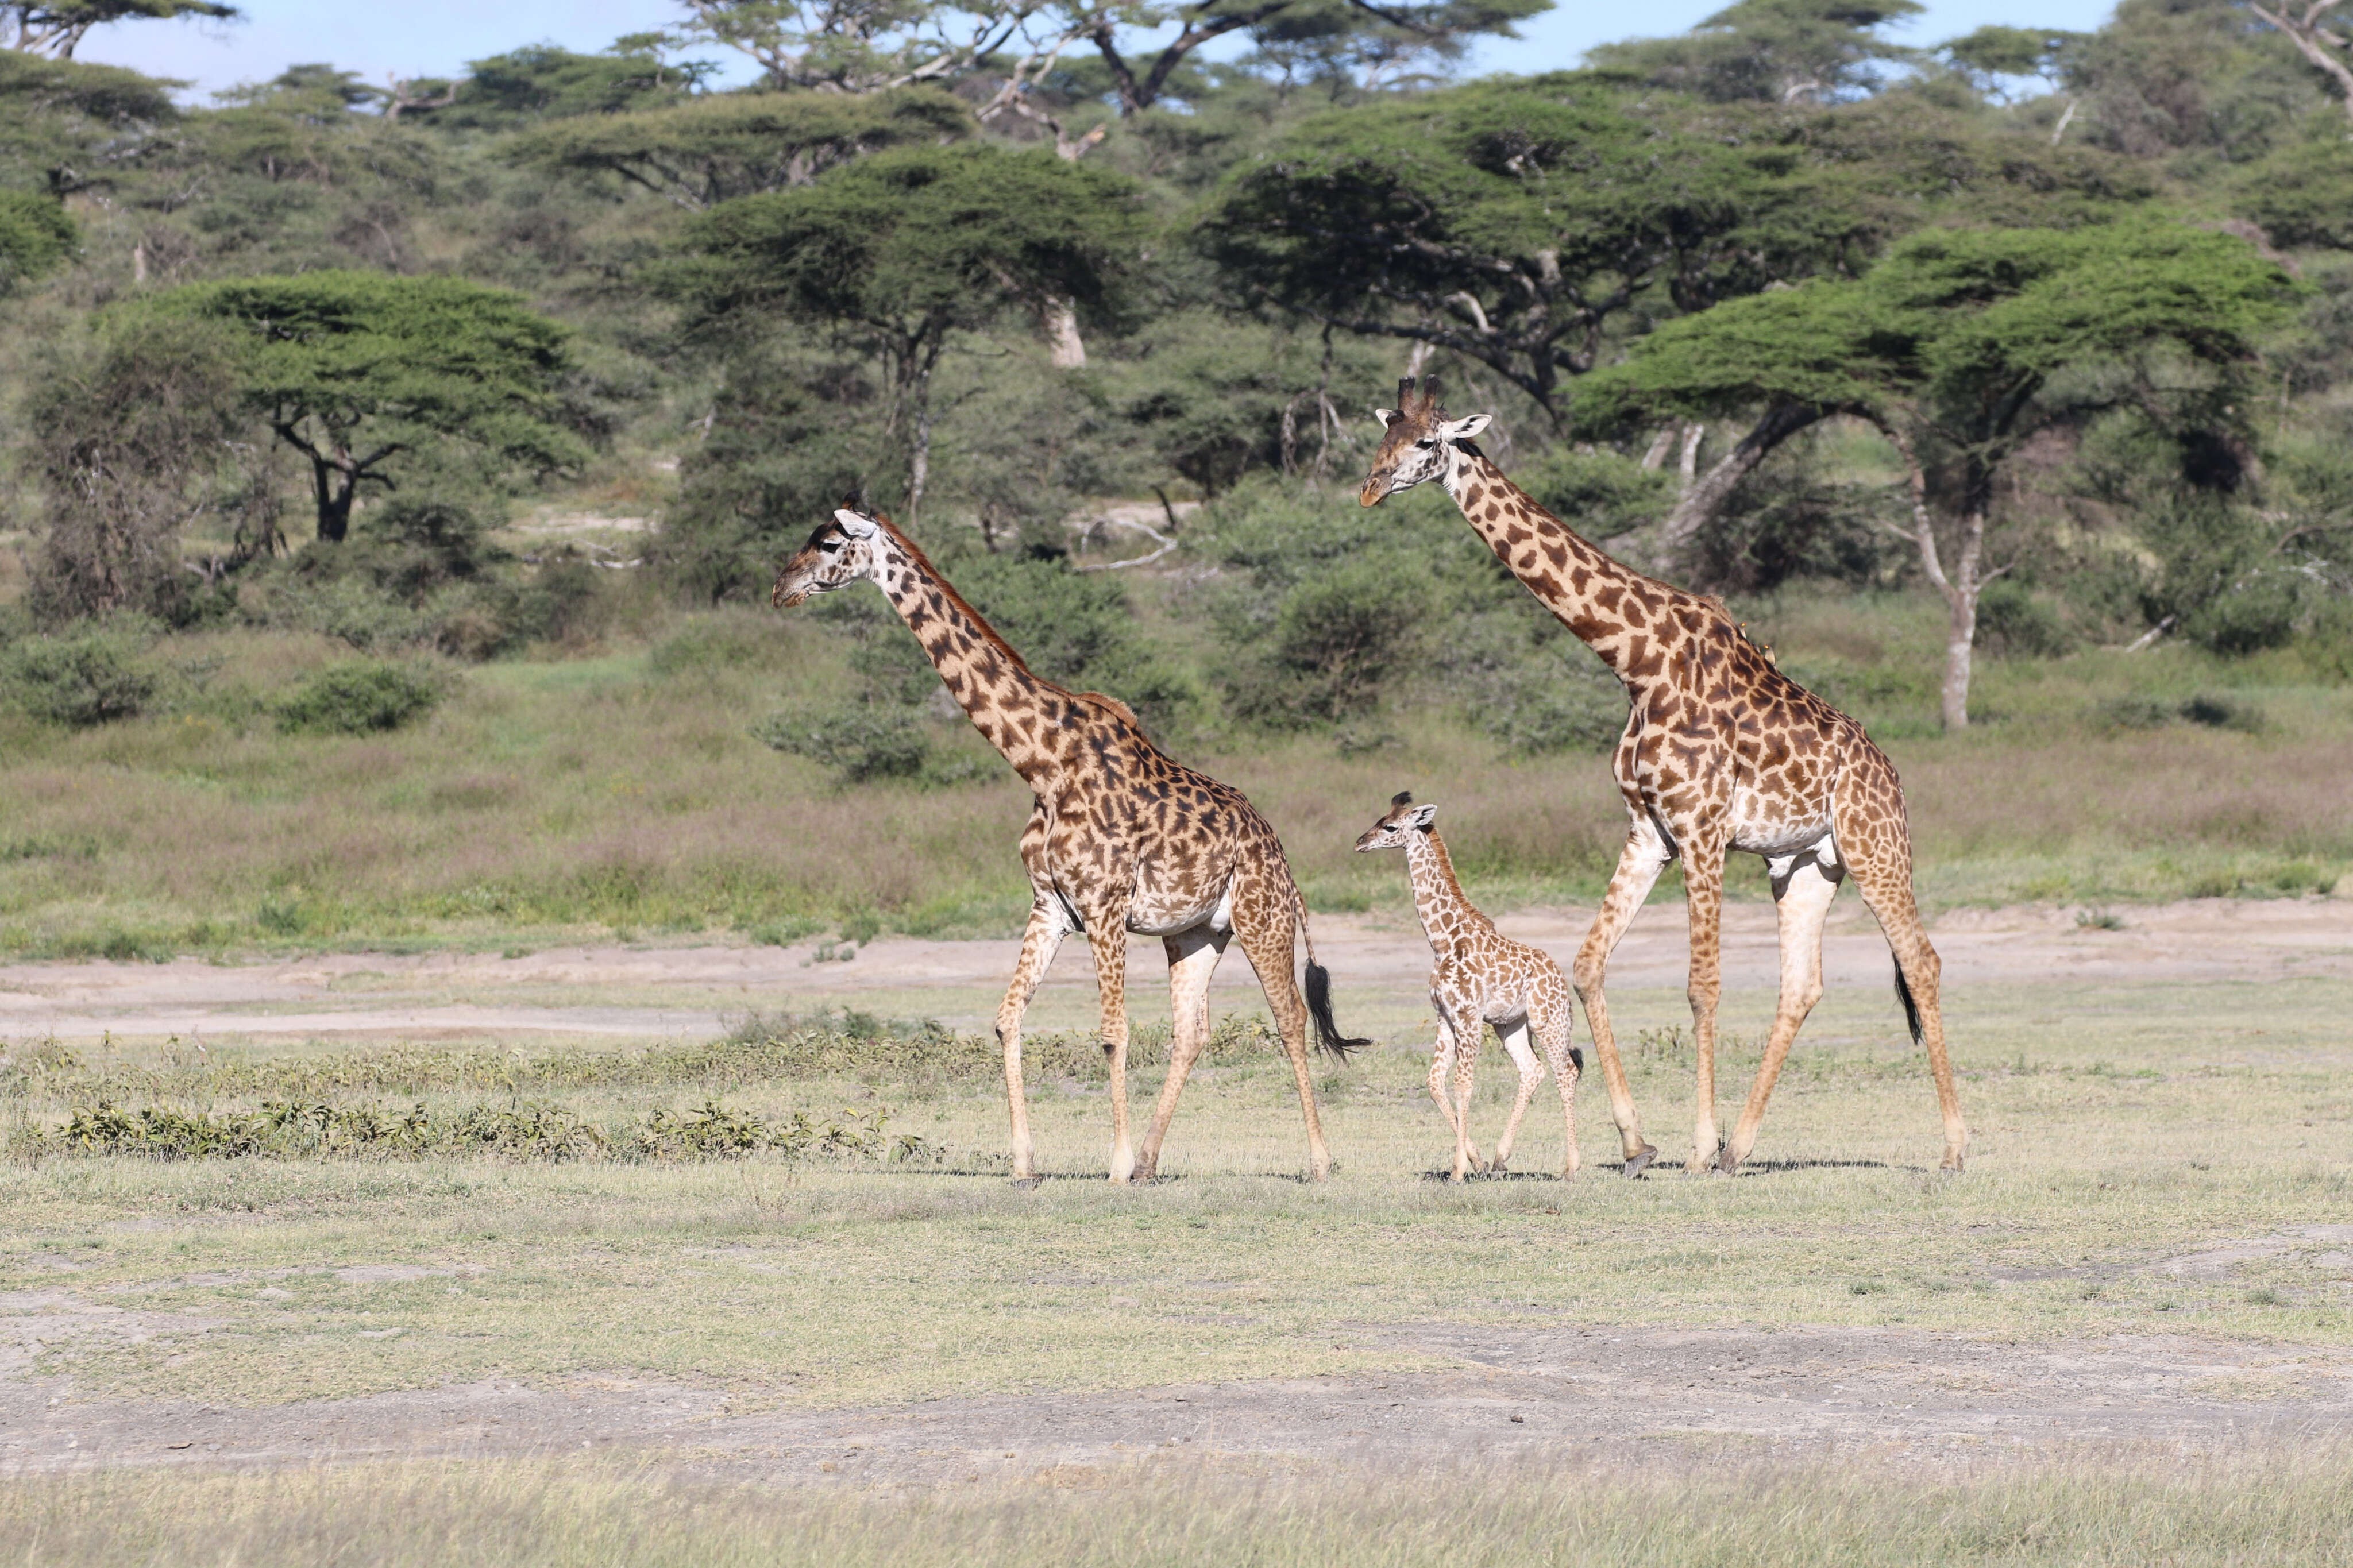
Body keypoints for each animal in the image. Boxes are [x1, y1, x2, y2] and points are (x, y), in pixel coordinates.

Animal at [772, 510, 1374, 1184]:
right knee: (1192, 1031)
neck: (1042, 764)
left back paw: (1317, 1161)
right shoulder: (1051, 907)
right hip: (1195, 932)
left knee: (1289, 1017)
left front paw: (1112, 1165)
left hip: (1261, 918)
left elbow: (1113, 1031)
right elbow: (1007, 1020)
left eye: (828, 543)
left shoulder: (1104, 904)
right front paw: (1024, 1164)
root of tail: (1281, 854)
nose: (780, 588)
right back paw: (1150, 1162)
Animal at [1364, 799, 1581, 1175]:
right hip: (1510, 1025)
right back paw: (1500, 1159)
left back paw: (1571, 1167)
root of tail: (1559, 977)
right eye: (1379, 820)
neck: (1443, 941)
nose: (1361, 842)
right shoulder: (1446, 1016)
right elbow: (1434, 1082)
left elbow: (1463, 1084)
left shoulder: (1467, 1016)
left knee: (1565, 1071)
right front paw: (1475, 1160)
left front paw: (1457, 1170)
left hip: (1547, 1019)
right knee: (1533, 1070)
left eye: (1390, 827)